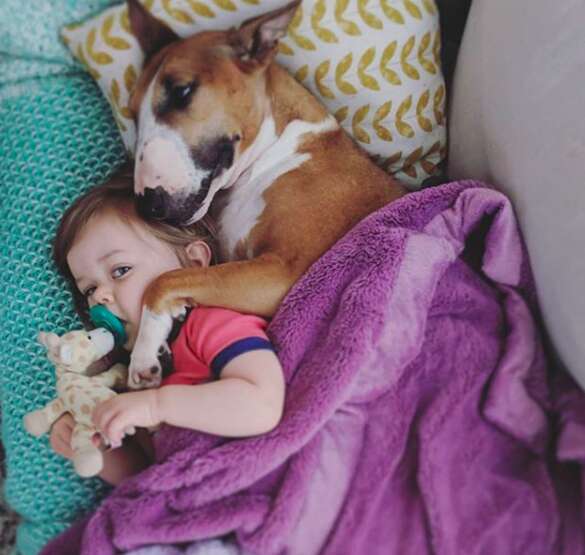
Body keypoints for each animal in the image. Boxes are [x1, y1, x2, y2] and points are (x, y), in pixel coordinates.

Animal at [125, 0, 404, 388]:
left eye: (182, 91)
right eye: (131, 114)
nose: (147, 205)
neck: (274, 153)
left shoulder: (284, 274)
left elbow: (163, 279)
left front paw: (144, 351)